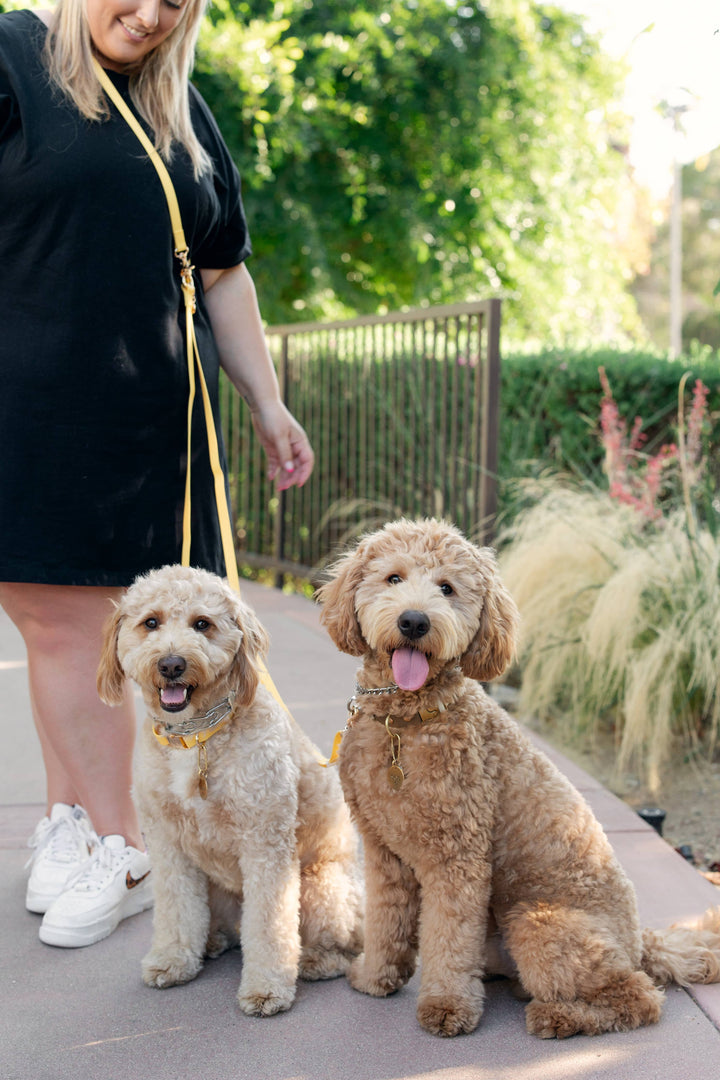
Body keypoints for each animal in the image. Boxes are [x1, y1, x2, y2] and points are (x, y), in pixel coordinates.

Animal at [98, 570, 362, 1015]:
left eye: (202, 624)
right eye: (151, 622)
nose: (172, 664)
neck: (196, 736)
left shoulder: (266, 842)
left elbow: (270, 924)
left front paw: (267, 987)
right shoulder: (167, 842)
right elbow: (175, 908)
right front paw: (173, 959)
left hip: (320, 888)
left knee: (341, 948)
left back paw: (313, 961)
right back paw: (209, 942)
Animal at [317, 518, 720, 1041]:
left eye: (447, 588)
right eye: (394, 578)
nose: (414, 622)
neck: (405, 721)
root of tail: (639, 942)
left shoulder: (457, 858)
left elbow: (449, 939)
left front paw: (447, 1006)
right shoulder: (384, 852)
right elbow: (387, 921)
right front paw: (375, 978)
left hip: (536, 921)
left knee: (639, 996)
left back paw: (559, 1016)